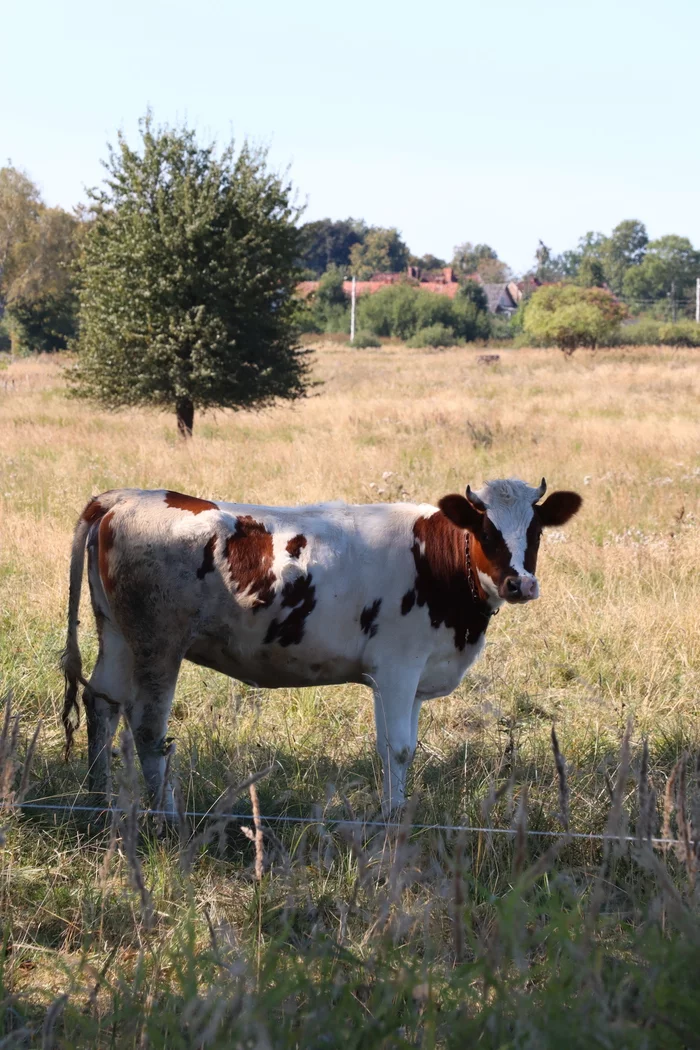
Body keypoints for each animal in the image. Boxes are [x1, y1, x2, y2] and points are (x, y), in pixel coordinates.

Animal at [62, 480, 583, 814]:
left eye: (535, 531)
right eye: (486, 531)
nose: (520, 583)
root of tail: (126, 497)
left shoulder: (410, 677)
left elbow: (397, 746)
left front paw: (395, 810)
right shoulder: (398, 667)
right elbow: (398, 748)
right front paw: (395, 820)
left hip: (117, 635)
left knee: (102, 703)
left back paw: (98, 800)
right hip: (158, 643)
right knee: (149, 730)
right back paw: (167, 820)